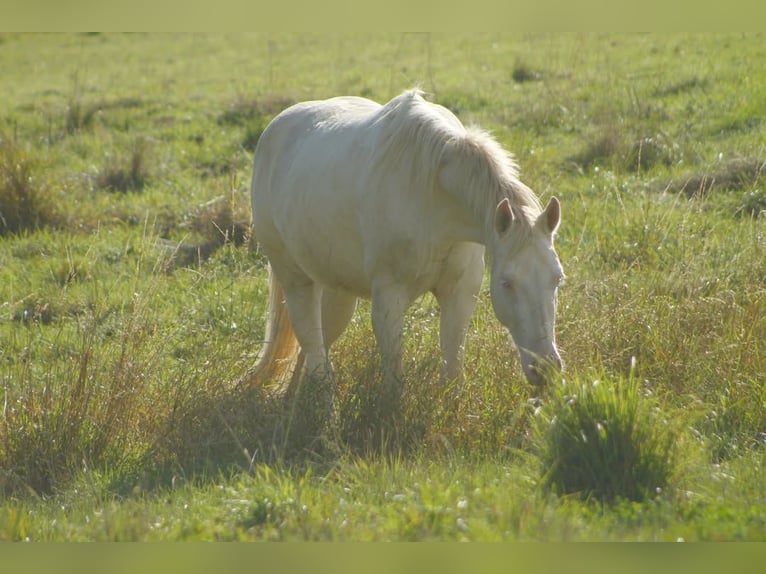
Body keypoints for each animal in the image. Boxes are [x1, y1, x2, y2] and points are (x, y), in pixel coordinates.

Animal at [247, 88, 564, 416]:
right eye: (507, 283)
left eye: (558, 279)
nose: (545, 368)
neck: (434, 192)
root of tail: (274, 130)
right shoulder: (389, 298)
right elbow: (395, 379)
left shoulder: (460, 293)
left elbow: (452, 371)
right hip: (296, 281)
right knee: (314, 351)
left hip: (337, 292)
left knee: (314, 349)